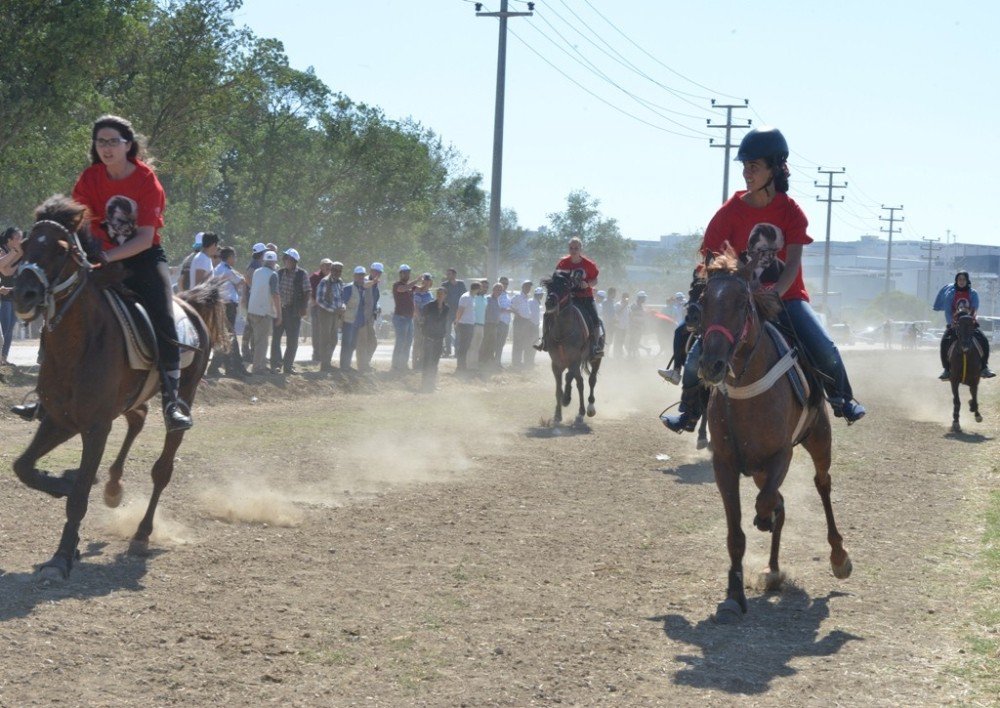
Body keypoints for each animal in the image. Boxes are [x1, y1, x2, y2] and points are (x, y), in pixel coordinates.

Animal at [540, 272, 600, 426]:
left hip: (595, 359)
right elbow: (558, 387)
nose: (550, 303)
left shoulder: (575, 359)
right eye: (549, 286)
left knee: (591, 380)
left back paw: (589, 408)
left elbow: (568, 377)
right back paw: (580, 413)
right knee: (580, 382)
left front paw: (566, 398)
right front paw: (557, 415)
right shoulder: (556, 363)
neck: (563, 331)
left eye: (565, 286)